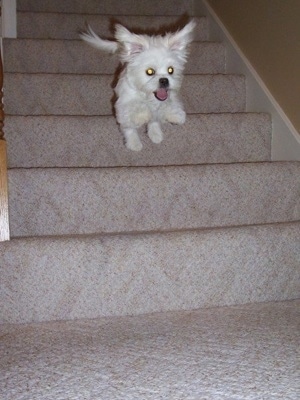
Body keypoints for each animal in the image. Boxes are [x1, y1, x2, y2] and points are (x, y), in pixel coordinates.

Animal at [81, 19, 196, 150]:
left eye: (171, 70)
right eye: (150, 72)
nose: (164, 80)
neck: (147, 97)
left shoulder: (165, 100)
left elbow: (156, 117)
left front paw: (157, 132)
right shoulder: (124, 107)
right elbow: (129, 126)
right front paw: (134, 143)